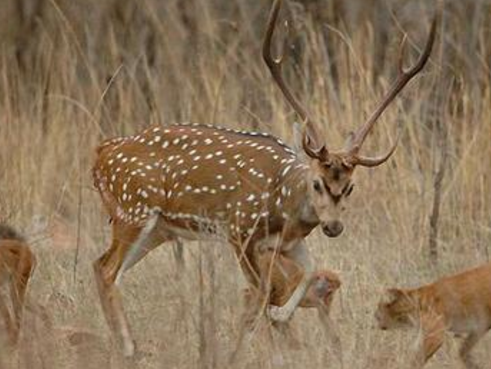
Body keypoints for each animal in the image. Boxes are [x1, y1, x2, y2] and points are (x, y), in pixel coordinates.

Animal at [92, 0, 438, 356]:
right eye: (317, 182)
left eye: (351, 187)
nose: (333, 227)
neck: (283, 204)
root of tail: (102, 152)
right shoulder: (240, 230)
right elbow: (258, 293)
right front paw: (242, 349)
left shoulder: (289, 243)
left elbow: (309, 270)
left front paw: (280, 314)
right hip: (133, 211)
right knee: (106, 270)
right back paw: (128, 348)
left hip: (157, 229)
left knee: (101, 267)